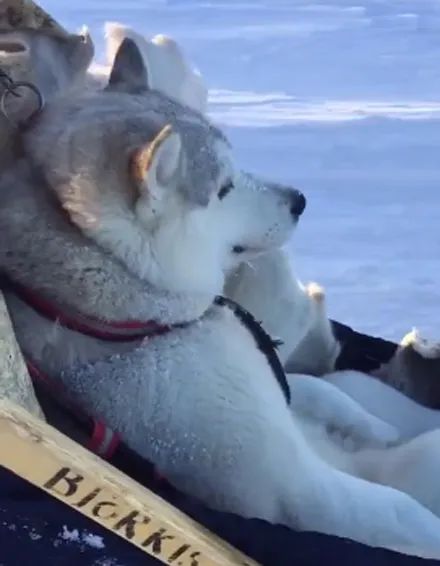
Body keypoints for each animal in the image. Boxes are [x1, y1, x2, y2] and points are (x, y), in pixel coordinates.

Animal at [2, 40, 440, 560]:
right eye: (224, 187)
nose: (300, 199)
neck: (133, 325)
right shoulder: (292, 487)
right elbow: (395, 510)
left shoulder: (277, 382)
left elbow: (318, 392)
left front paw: (371, 426)